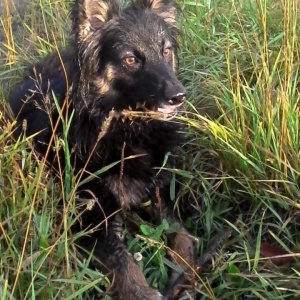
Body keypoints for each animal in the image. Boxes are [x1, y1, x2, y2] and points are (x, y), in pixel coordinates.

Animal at [8, 0, 195, 298]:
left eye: (166, 51)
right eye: (130, 59)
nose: (179, 96)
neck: (126, 130)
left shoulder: (162, 199)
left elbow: (183, 239)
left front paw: (188, 278)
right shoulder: (91, 224)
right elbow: (124, 264)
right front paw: (144, 291)